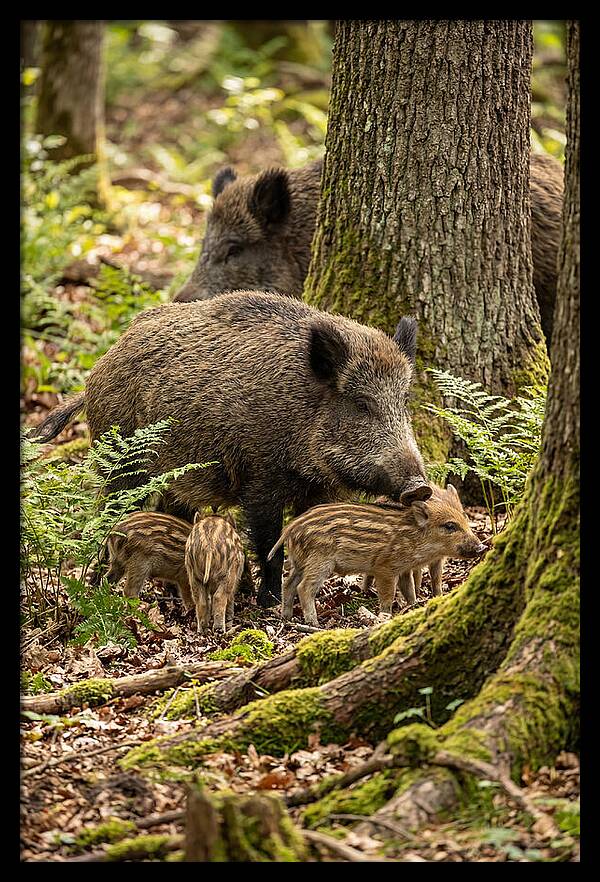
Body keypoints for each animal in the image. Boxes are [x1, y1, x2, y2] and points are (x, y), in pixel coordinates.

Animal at [32, 291, 432, 609]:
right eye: (362, 404)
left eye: (404, 401)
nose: (420, 487)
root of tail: (97, 370)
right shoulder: (260, 479)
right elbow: (270, 544)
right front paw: (269, 602)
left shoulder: (320, 490)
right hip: (123, 462)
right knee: (109, 514)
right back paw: (98, 586)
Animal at [269, 486, 488, 627]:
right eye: (450, 526)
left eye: (465, 519)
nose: (482, 547)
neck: (414, 537)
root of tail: (290, 528)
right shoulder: (385, 568)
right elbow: (388, 595)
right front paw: (386, 615)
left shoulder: (404, 568)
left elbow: (409, 590)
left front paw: (414, 606)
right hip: (319, 562)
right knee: (304, 588)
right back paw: (313, 623)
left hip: (300, 562)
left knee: (288, 584)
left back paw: (286, 617)